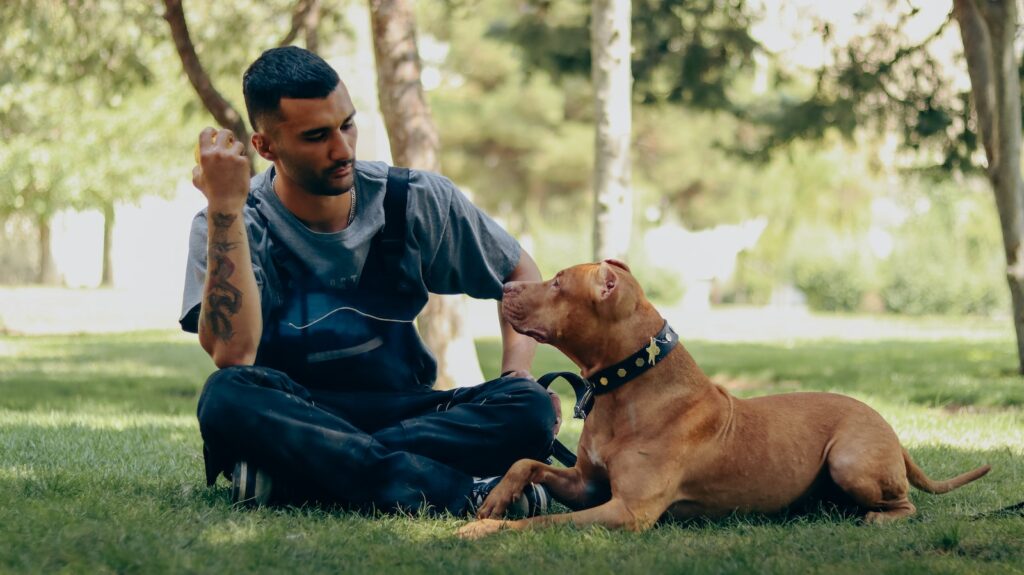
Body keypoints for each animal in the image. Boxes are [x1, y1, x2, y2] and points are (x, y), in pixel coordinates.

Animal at [458, 259, 991, 536]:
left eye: (557, 283)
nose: (506, 285)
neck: (625, 385)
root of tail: (888, 427)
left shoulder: (626, 512)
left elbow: (540, 523)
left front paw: (486, 529)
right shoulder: (589, 485)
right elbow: (526, 461)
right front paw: (497, 500)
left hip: (851, 460)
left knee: (905, 506)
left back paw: (878, 518)